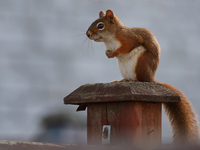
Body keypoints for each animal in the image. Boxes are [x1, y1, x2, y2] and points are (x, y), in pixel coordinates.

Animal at [86, 9, 200, 144]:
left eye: (100, 25)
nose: (87, 34)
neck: (110, 38)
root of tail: (151, 78)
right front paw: (108, 54)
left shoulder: (129, 38)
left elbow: (127, 46)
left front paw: (114, 53)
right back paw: (122, 79)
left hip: (140, 61)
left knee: (141, 79)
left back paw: (133, 79)